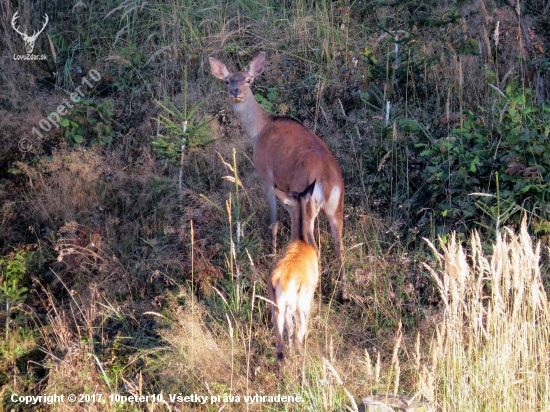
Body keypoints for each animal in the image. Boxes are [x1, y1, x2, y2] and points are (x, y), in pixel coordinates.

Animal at [211, 53, 350, 300]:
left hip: (306, 202)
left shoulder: (266, 175)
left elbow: (273, 220)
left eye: (248, 80)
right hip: (337, 206)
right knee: (340, 246)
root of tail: (327, 181)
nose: (235, 91)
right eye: (227, 80)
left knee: (314, 245)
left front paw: (272, 254)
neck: (259, 131)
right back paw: (343, 294)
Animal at [268, 180, 320, 360]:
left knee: (280, 345)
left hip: (276, 305)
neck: (301, 240)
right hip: (301, 303)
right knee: (298, 336)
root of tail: (283, 282)